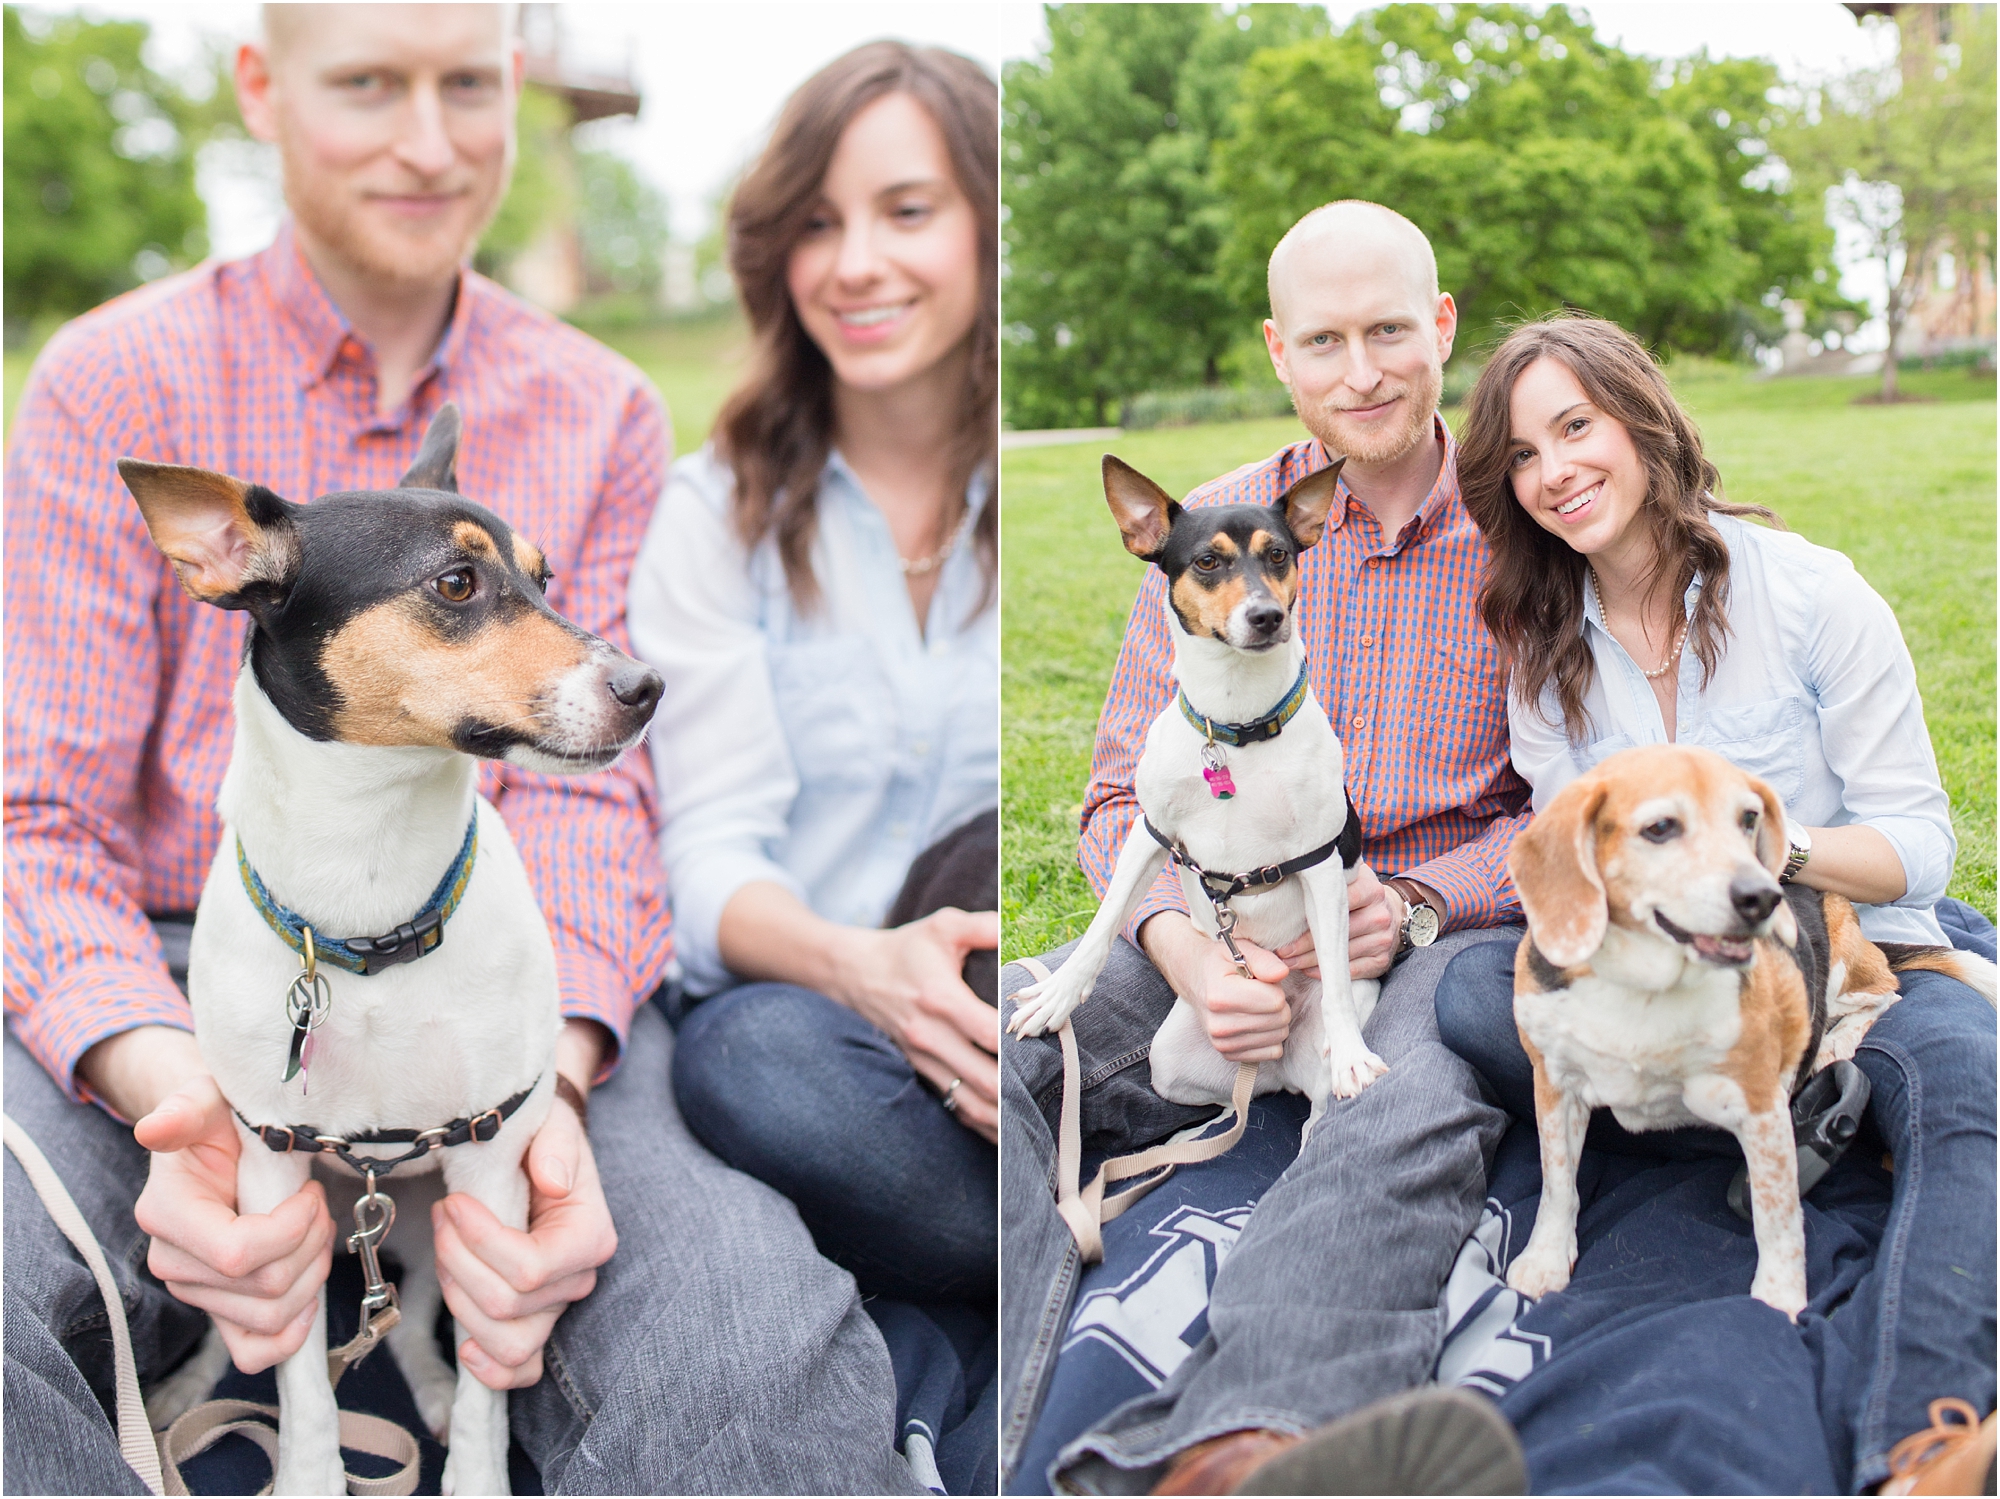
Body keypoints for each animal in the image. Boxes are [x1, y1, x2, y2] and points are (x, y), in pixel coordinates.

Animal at [1504, 747, 1992, 1319]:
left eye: (1749, 819)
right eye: (1660, 827)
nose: (1764, 897)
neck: (1645, 986)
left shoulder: (1761, 1110)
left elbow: (1776, 1215)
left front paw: (1776, 1303)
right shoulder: (1554, 1084)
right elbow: (1558, 1183)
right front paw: (1546, 1260)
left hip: (1846, 968)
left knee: (1887, 992)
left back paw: (1835, 1042)